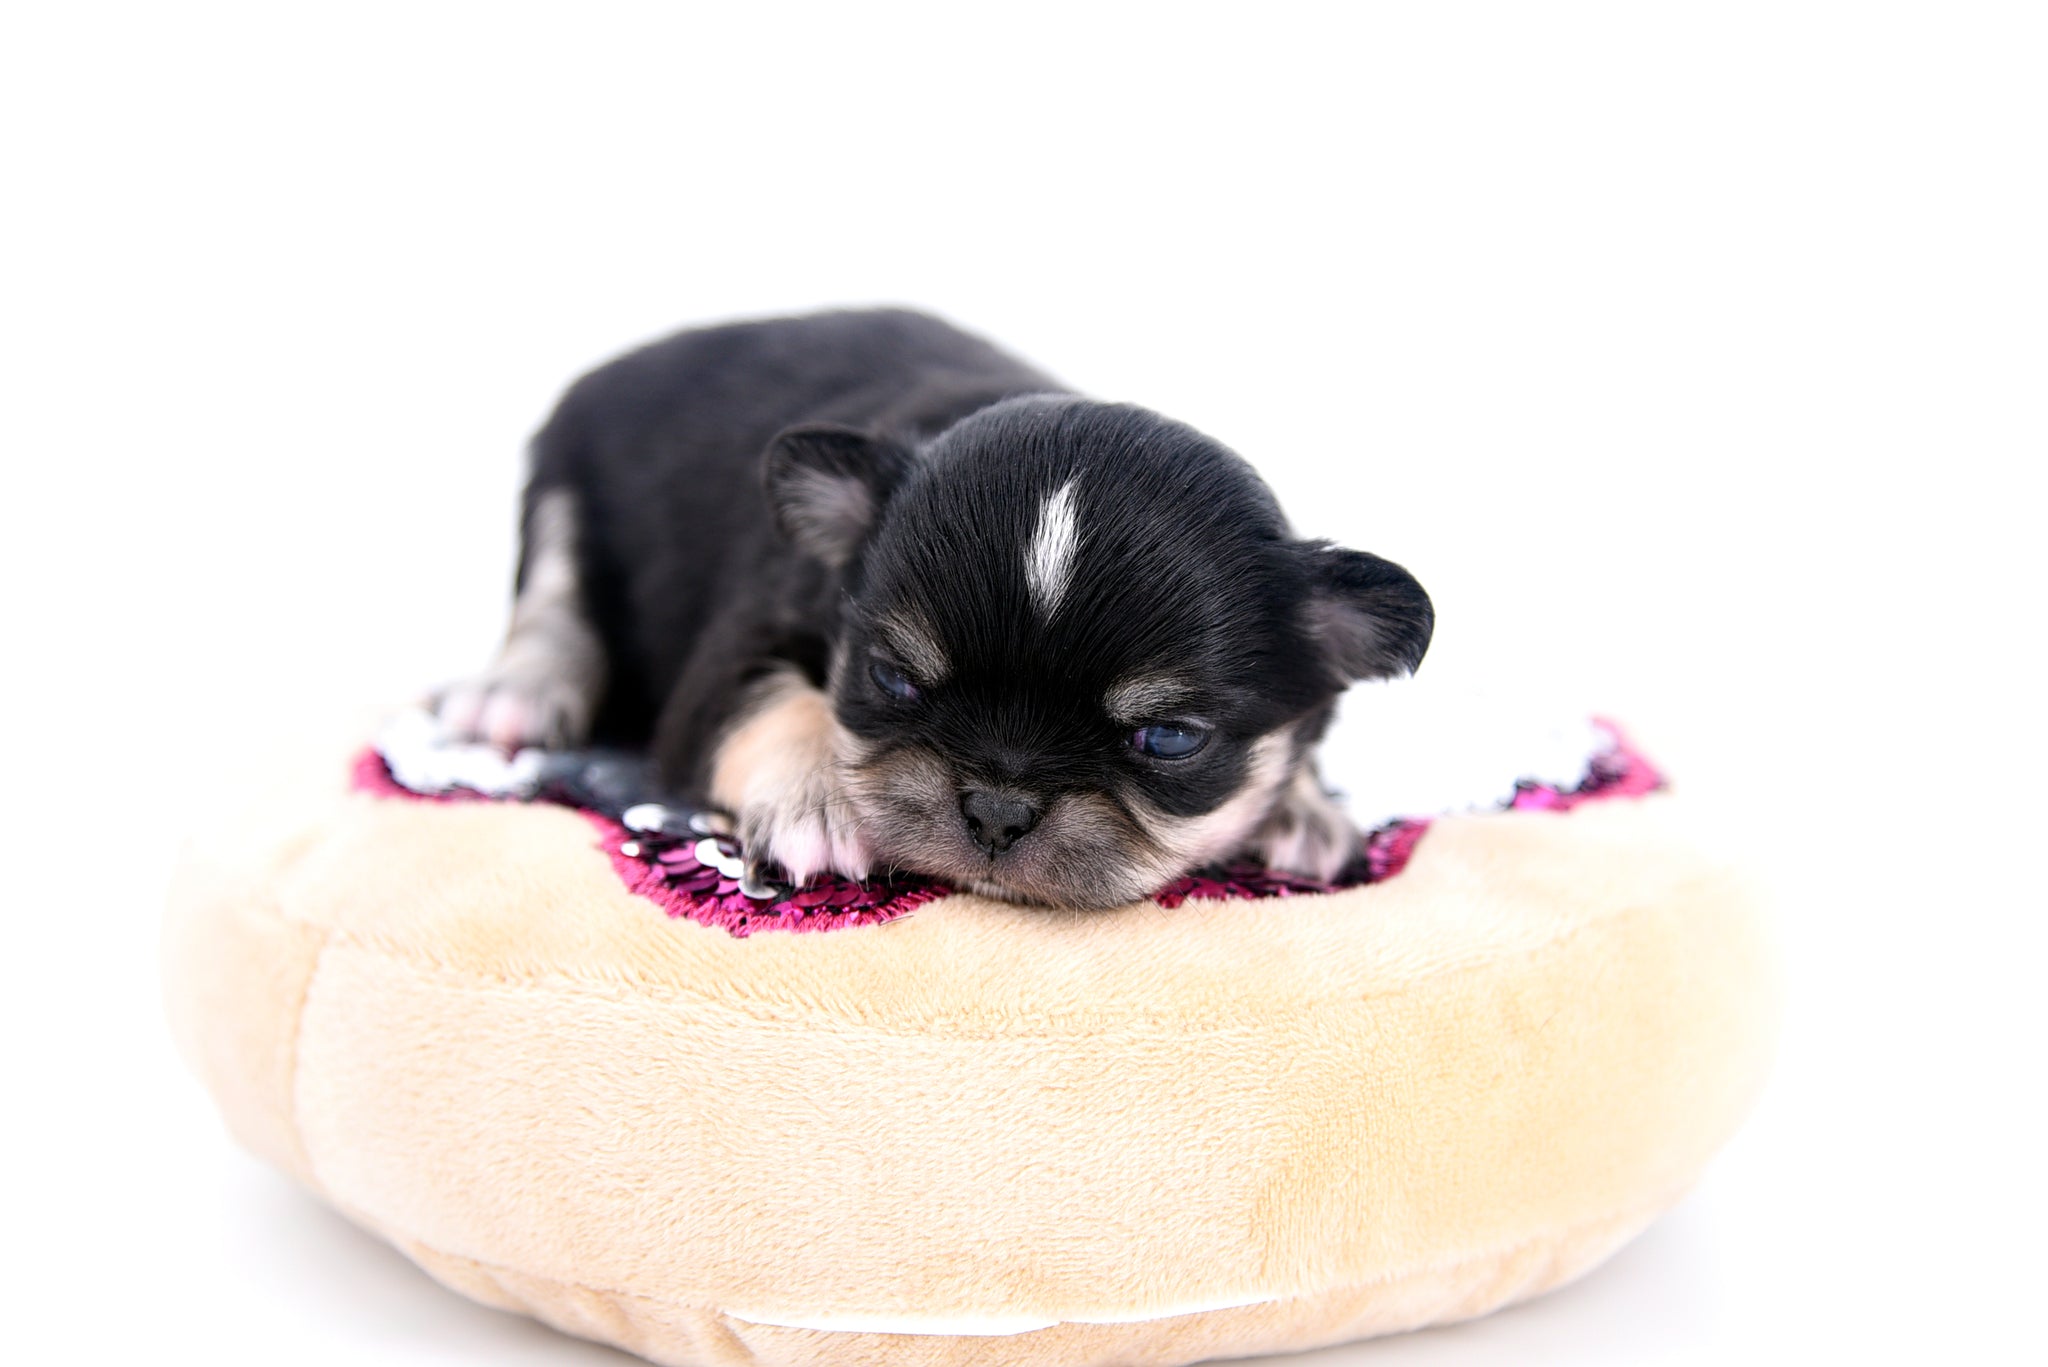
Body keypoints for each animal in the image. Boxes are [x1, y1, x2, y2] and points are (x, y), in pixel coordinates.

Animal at [437, 309, 1433, 908]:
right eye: (894, 679)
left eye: (1168, 739)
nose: (997, 809)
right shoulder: (733, 657)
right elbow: (782, 703)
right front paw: (819, 800)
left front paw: (1301, 805)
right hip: (564, 483)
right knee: (552, 600)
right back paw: (515, 693)